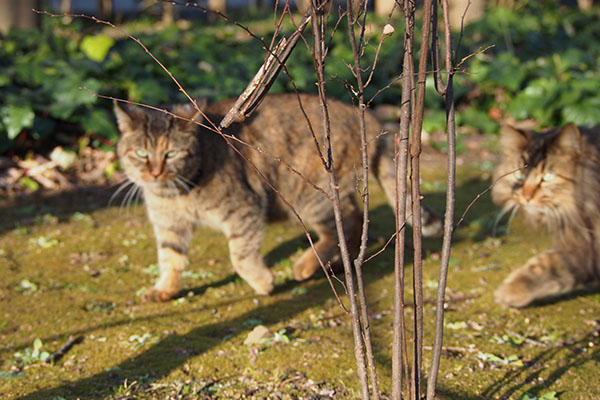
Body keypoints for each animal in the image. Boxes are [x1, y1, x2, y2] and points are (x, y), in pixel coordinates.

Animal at [115, 93, 442, 300]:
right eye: (141, 153)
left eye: (171, 153)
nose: (154, 172)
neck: (174, 194)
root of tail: (366, 115)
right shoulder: (169, 226)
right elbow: (169, 259)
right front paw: (165, 290)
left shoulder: (245, 209)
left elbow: (240, 255)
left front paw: (262, 282)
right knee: (355, 221)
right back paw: (339, 263)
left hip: (311, 196)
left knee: (346, 221)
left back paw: (307, 265)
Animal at [492, 123, 600, 308]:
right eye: (519, 175)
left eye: (548, 177)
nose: (527, 197)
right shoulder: (582, 248)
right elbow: (549, 264)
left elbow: (545, 264)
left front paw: (508, 291)